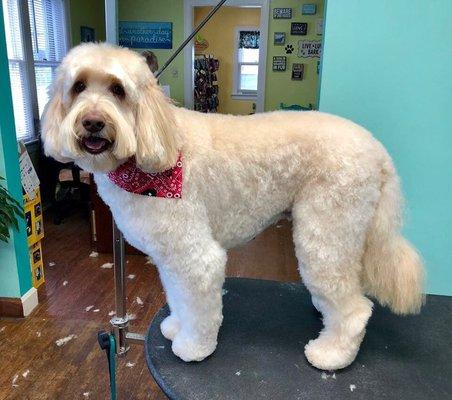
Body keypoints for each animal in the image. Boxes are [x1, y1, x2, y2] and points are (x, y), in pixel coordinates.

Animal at [41, 43, 424, 368]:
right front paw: (176, 326)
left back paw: (332, 353)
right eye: (78, 87)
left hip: (327, 231)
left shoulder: (196, 256)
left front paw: (193, 347)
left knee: (356, 308)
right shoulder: (170, 255)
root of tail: (378, 150)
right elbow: (178, 297)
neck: (156, 144)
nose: (92, 121)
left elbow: (200, 306)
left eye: (118, 90)